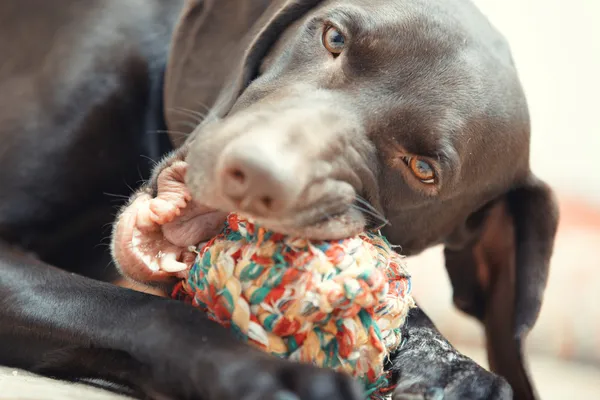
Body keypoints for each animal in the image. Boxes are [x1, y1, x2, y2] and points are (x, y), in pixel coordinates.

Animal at [0, 0, 556, 400]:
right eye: (334, 37)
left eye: (422, 169)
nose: (254, 175)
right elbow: (143, 310)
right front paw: (263, 370)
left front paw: (454, 367)